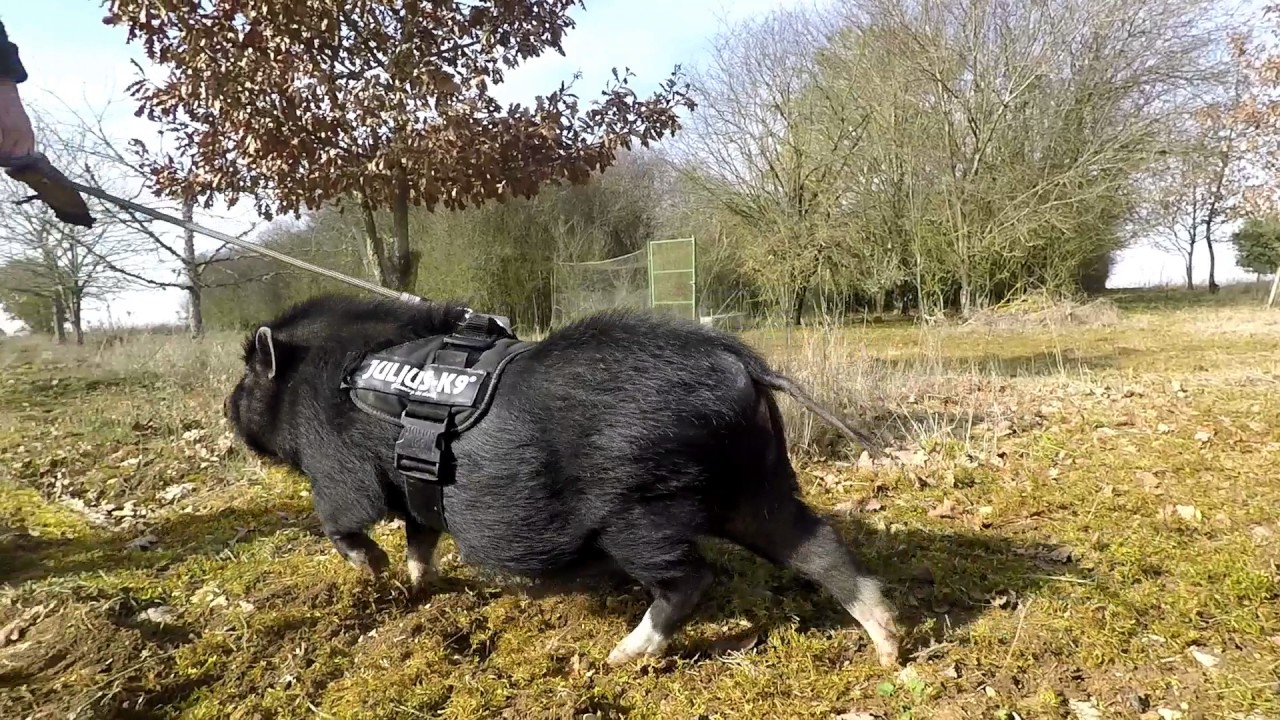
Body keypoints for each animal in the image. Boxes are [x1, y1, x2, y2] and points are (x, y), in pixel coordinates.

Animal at [223, 293, 902, 667]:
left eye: (248, 378)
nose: (227, 408)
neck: (320, 381)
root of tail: (744, 362)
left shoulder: (338, 471)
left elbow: (342, 519)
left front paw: (376, 575)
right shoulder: (415, 485)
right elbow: (421, 532)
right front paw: (417, 587)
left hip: (639, 510)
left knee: (691, 578)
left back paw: (619, 656)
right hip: (754, 484)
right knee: (818, 546)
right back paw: (891, 650)